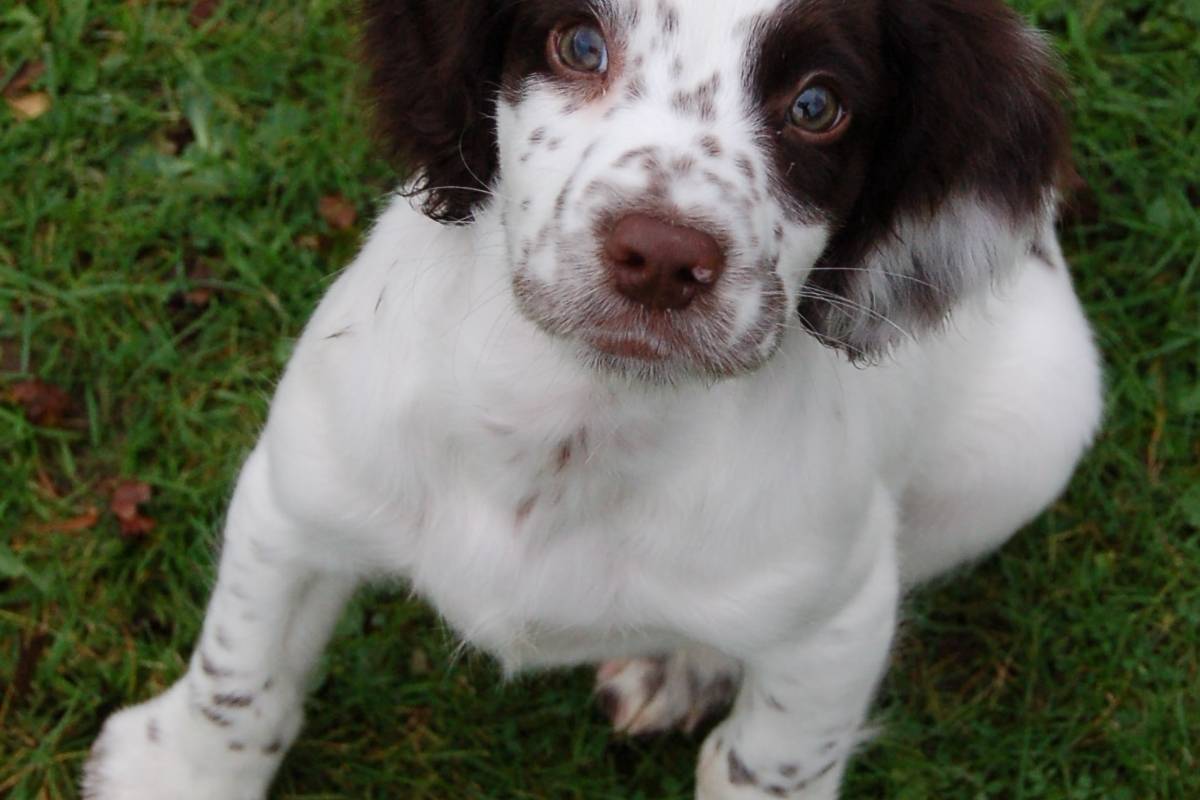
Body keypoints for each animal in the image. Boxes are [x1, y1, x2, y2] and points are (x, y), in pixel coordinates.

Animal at [82, 1, 1104, 800]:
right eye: (579, 44)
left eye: (817, 105)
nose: (661, 257)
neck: (577, 417)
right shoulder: (297, 493)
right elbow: (238, 673)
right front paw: (176, 775)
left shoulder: (843, 620)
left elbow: (768, 763)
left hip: (1027, 443)